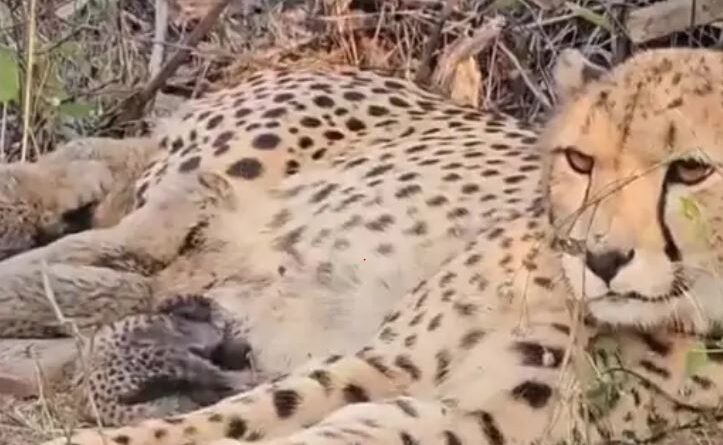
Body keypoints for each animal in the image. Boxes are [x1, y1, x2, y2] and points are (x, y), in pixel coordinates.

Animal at [5, 46, 723, 445]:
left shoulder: (477, 420)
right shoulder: (388, 360)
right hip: (232, 160)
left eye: (691, 171)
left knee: (123, 265)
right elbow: (236, 416)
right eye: (580, 160)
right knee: (122, 195)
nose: (598, 257)